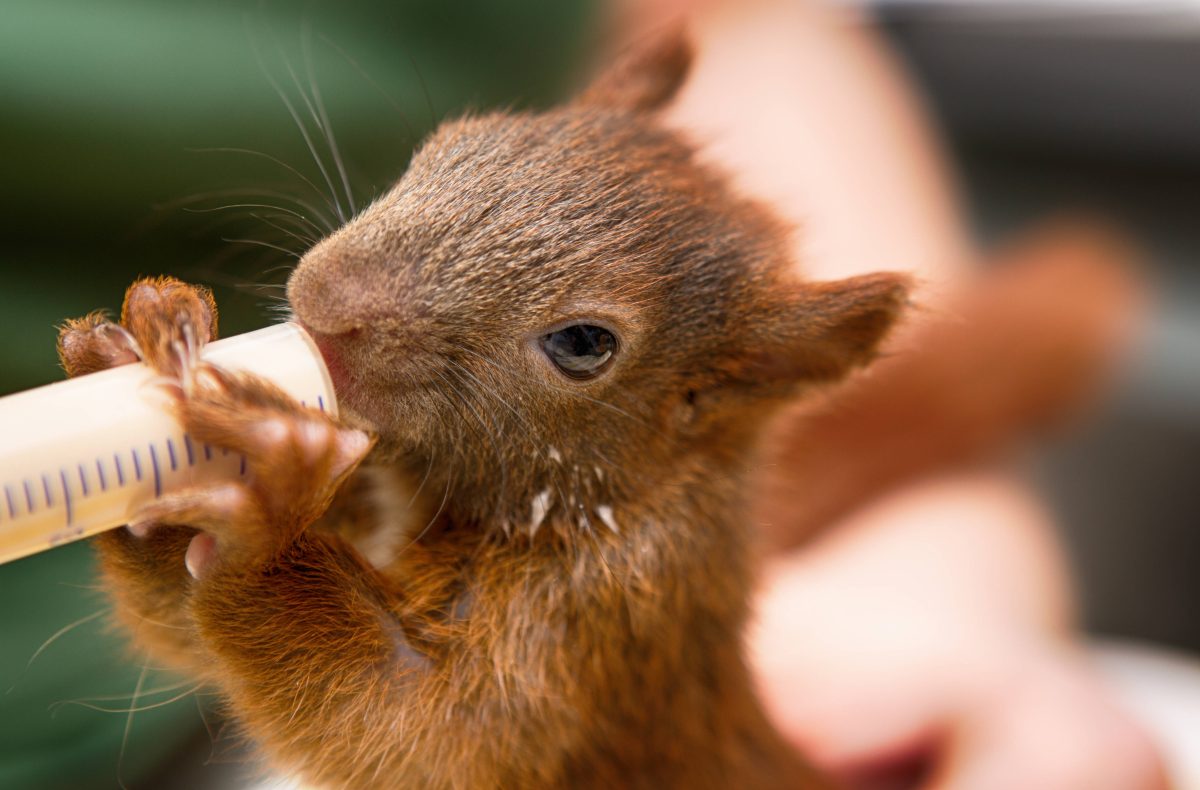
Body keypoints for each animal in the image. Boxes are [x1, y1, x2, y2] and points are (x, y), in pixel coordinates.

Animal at [57, 29, 908, 789]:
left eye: (584, 343)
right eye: (450, 140)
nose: (324, 298)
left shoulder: (598, 633)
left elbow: (418, 730)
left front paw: (269, 497)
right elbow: (185, 628)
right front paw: (128, 351)